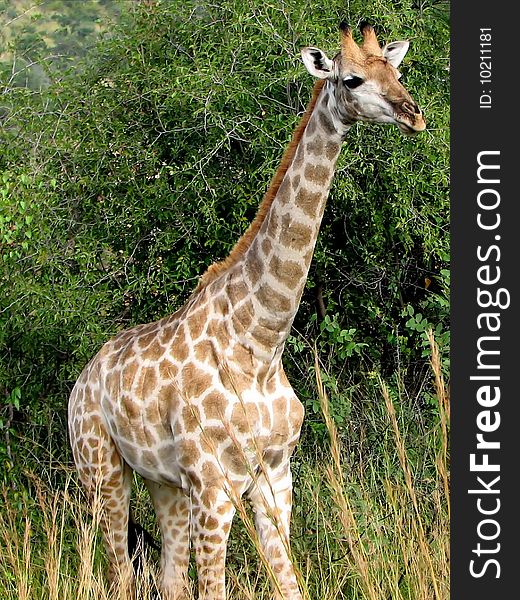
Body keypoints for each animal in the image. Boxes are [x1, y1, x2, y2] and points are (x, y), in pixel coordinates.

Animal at [68, 21, 426, 600]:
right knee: (116, 570)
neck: (260, 340)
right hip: (101, 469)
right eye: (350, 78)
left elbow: (289, 583)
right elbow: (213, 587)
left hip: (163, 483)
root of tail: (81, 381)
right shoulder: (214, 484)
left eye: (395, 69)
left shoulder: (275, 475)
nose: (413, 114)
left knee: (168, 576)